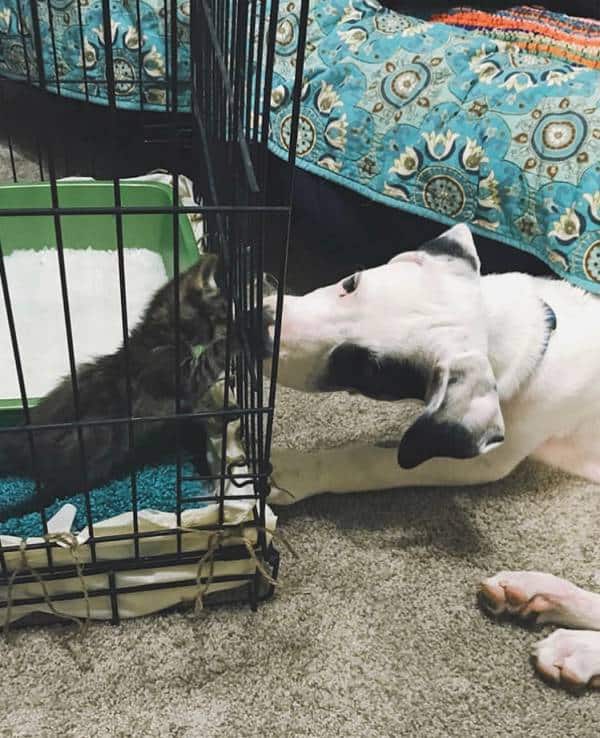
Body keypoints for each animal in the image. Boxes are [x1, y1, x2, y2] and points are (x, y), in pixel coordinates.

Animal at [0, 254, 269, 521]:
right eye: (224, 313)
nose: (234, 321)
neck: (161, 335)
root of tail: (22, 438)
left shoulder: (183, 397)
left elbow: (198, 406)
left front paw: (228, 409)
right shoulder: (179, 377)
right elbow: (211, 359)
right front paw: (249, 327)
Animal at [265, 223, 600, 690]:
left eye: (363, 368)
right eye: (350, 283)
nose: (257, 325)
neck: (536, 336)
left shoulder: (485, 458)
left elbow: (370, 462)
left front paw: (293, 471)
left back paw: (578, 647)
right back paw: (536, 594)